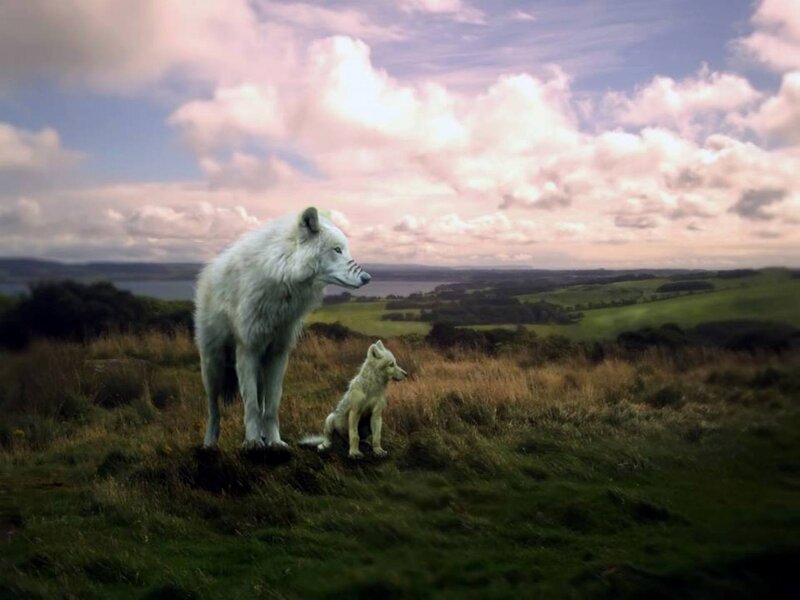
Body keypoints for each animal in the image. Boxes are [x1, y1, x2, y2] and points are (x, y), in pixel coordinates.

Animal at [195, 206, 371, 449]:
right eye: (337, 250)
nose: (368, 278)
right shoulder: (247, 350)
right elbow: (251, 406)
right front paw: (252, 443)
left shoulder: (278, 354)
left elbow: (270, 407)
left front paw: (274, 441)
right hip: (213, 366)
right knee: (213, 409)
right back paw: (210, 443)